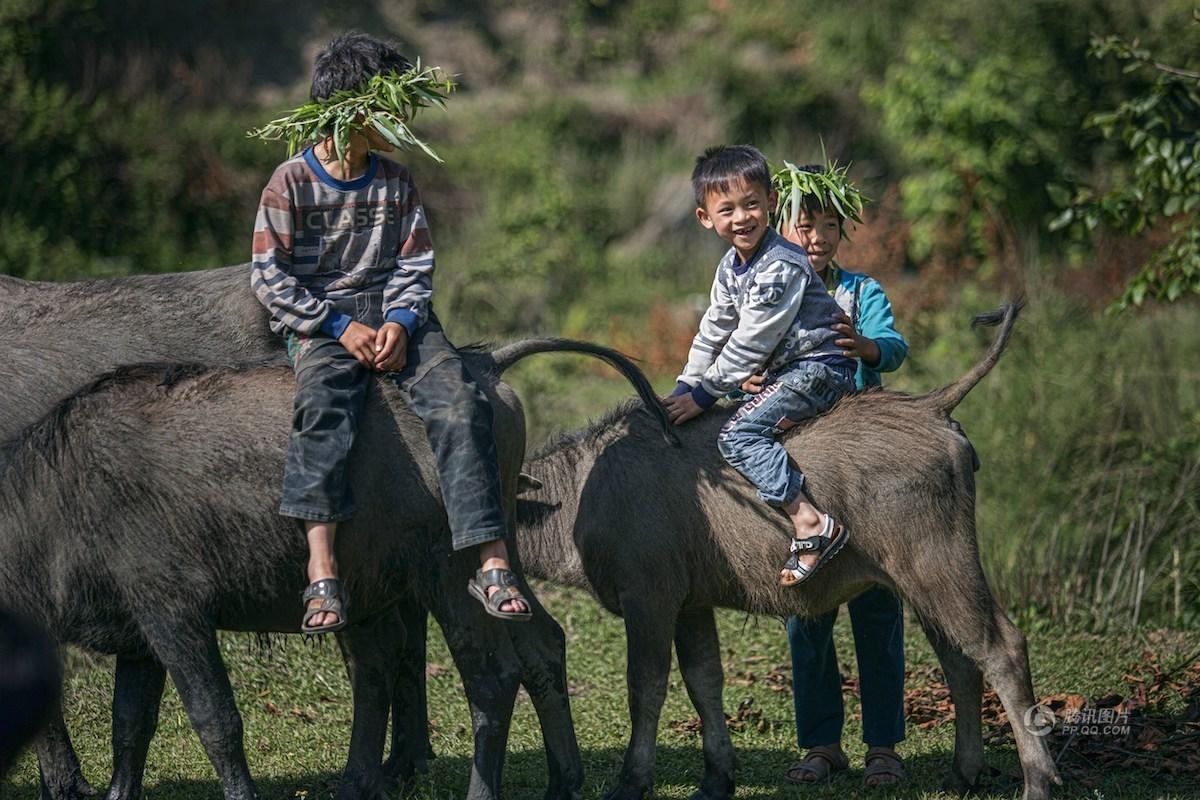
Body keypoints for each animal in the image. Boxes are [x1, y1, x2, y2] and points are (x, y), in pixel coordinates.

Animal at [516, 304, 1060, 800]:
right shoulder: (692, 605)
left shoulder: (649, 599)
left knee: (1002, 649)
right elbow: (705, 682)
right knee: (959, 660)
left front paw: (632, 781)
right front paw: (717, 778)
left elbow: (645, 687)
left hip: (940, 566)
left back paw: (1037, 781)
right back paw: (962, 773)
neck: (583, 491)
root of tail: (929, 406)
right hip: (924, 582)